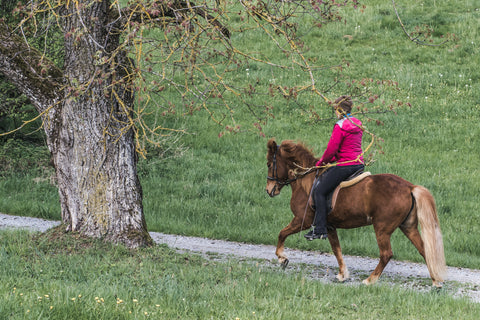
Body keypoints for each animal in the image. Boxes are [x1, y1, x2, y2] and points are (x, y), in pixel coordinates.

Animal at [266, 139, 446, 286]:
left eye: (269, 164)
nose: (269, 190)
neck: (306, 182)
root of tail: (409, 187)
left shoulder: (302, 220)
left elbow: (282, 233)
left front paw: (282, 258)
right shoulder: (329, 226)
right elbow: (336, 249)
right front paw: (342, 275)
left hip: (382, 228)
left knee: (386, 254)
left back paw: (370, 280)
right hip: (408, 227)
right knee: (424, 250)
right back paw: (436, 282)